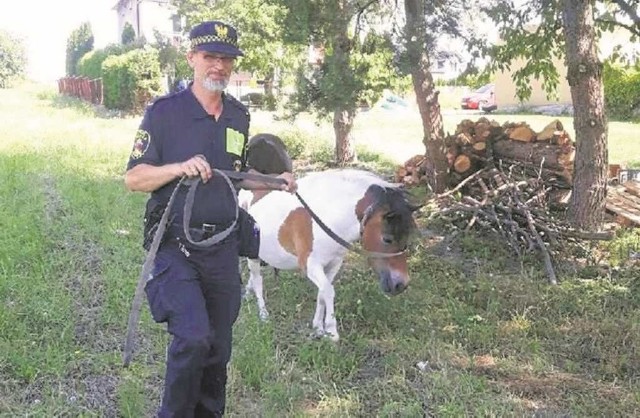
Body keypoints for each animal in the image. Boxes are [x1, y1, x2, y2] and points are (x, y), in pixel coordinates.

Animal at [236, 168, 420, 342]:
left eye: (407, 236)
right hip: (252, 256)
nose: (401, 284)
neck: (326, 218)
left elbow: (322, 294)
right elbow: (328, 291)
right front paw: (331, 332)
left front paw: (318, 328)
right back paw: (263, 314)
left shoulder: (334, 264)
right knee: (258, 281)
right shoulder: (310, 265)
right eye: (387, 239)